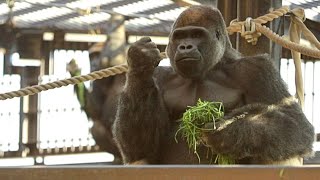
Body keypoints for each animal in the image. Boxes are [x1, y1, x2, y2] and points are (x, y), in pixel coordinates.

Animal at [111, 4, 314, 165]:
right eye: (180, 36)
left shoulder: (258, 69)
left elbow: (295, 122)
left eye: (196, 34)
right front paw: (140, 62)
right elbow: (140, 148)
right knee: (140, 159)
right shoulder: (160, 77)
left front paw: (230, 133)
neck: (215, 64)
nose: (185, 46)